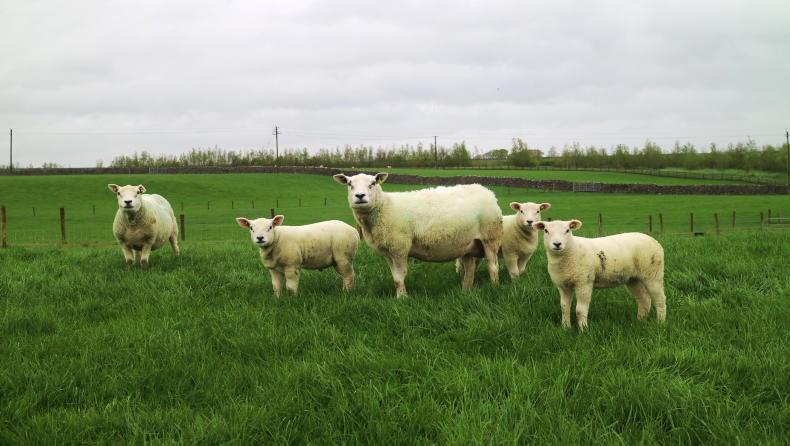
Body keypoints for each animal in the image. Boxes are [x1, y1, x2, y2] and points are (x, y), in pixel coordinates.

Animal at [333, 172, 502, 297]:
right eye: (349, 184)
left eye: (373, 183)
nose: (360, 196)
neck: (385, 207)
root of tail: (487, 192)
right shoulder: (388, 251)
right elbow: (395, 278)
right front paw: (400, 296)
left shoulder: (400, 247)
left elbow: (399, 277)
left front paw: (402, 298)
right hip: (467, 244)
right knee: (469, 270)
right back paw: (466, 291)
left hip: (490, 237)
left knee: (493, 266)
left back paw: (494, 287)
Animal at [534, 219, 666, 330]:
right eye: (546, 230)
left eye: (567, 230)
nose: (557, 244)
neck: (571, 250)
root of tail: (655, 241)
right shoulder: (563, 286)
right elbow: (564, 307)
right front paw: (566, 328)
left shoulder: (584, 282)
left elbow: (580, 310)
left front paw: (583, 330)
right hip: (633, 279)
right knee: (644, 300)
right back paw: (639, 321)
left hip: (653, 273)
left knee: (660, 299)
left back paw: (660, 323)